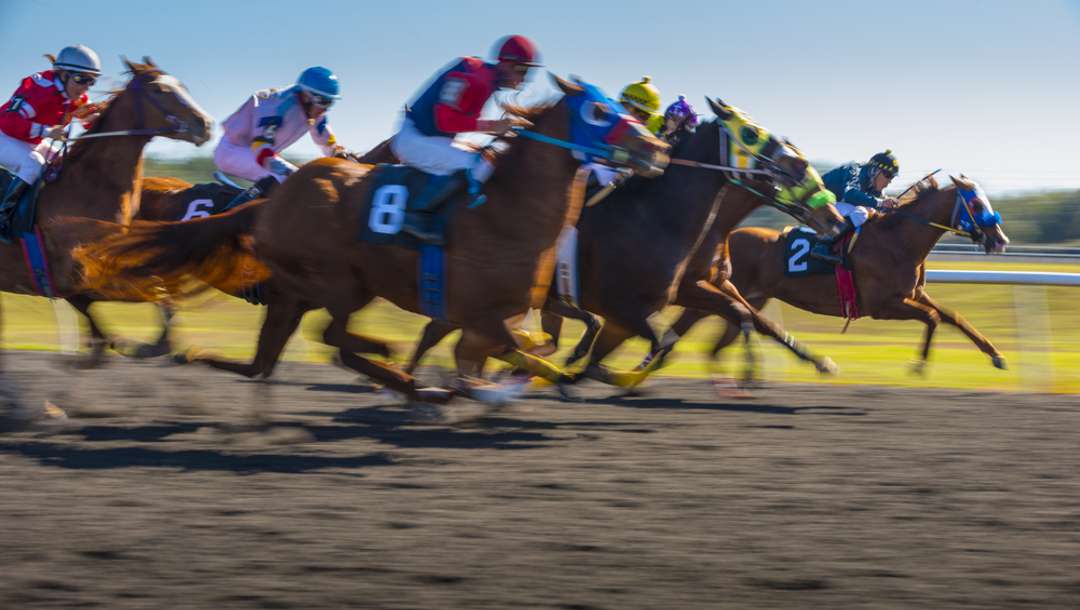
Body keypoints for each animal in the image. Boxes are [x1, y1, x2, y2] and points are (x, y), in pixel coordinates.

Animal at [0, 57, 211, 382]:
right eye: (159, 89)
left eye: (182, 86)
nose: (206, 124)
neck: (88, 188)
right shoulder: (72, 276)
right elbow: (143, 290)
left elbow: (156, 288)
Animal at [76, 76, 669, 403]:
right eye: (599, 111)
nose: (657, 148)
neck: (509, 211)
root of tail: (274, 201)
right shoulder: (477, 314)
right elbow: (513, 355)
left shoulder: (498, 314)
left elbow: (530, 349)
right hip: (338, 284)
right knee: (334, 340)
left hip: (299, 294)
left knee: (268, 360)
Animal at [401, 97, 846, 388]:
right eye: (751, 133)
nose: (834, 218)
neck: (657, 216)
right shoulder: (634, 302)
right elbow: (652, 341)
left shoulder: (698, 287)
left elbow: (751, 318)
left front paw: (811, 362)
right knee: (438, 333)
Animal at [665, 173, 1010, 375]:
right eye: (976, 203)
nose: (1000, 240)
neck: (897, 239)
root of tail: (723, 236)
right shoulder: (883, 306)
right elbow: (934, 318)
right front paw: (919, 365)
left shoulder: (914, 295)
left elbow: (954, 316)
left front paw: (995, 355)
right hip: (711, 293)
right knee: (683, 331)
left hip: (750, 298)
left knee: (716, 344)